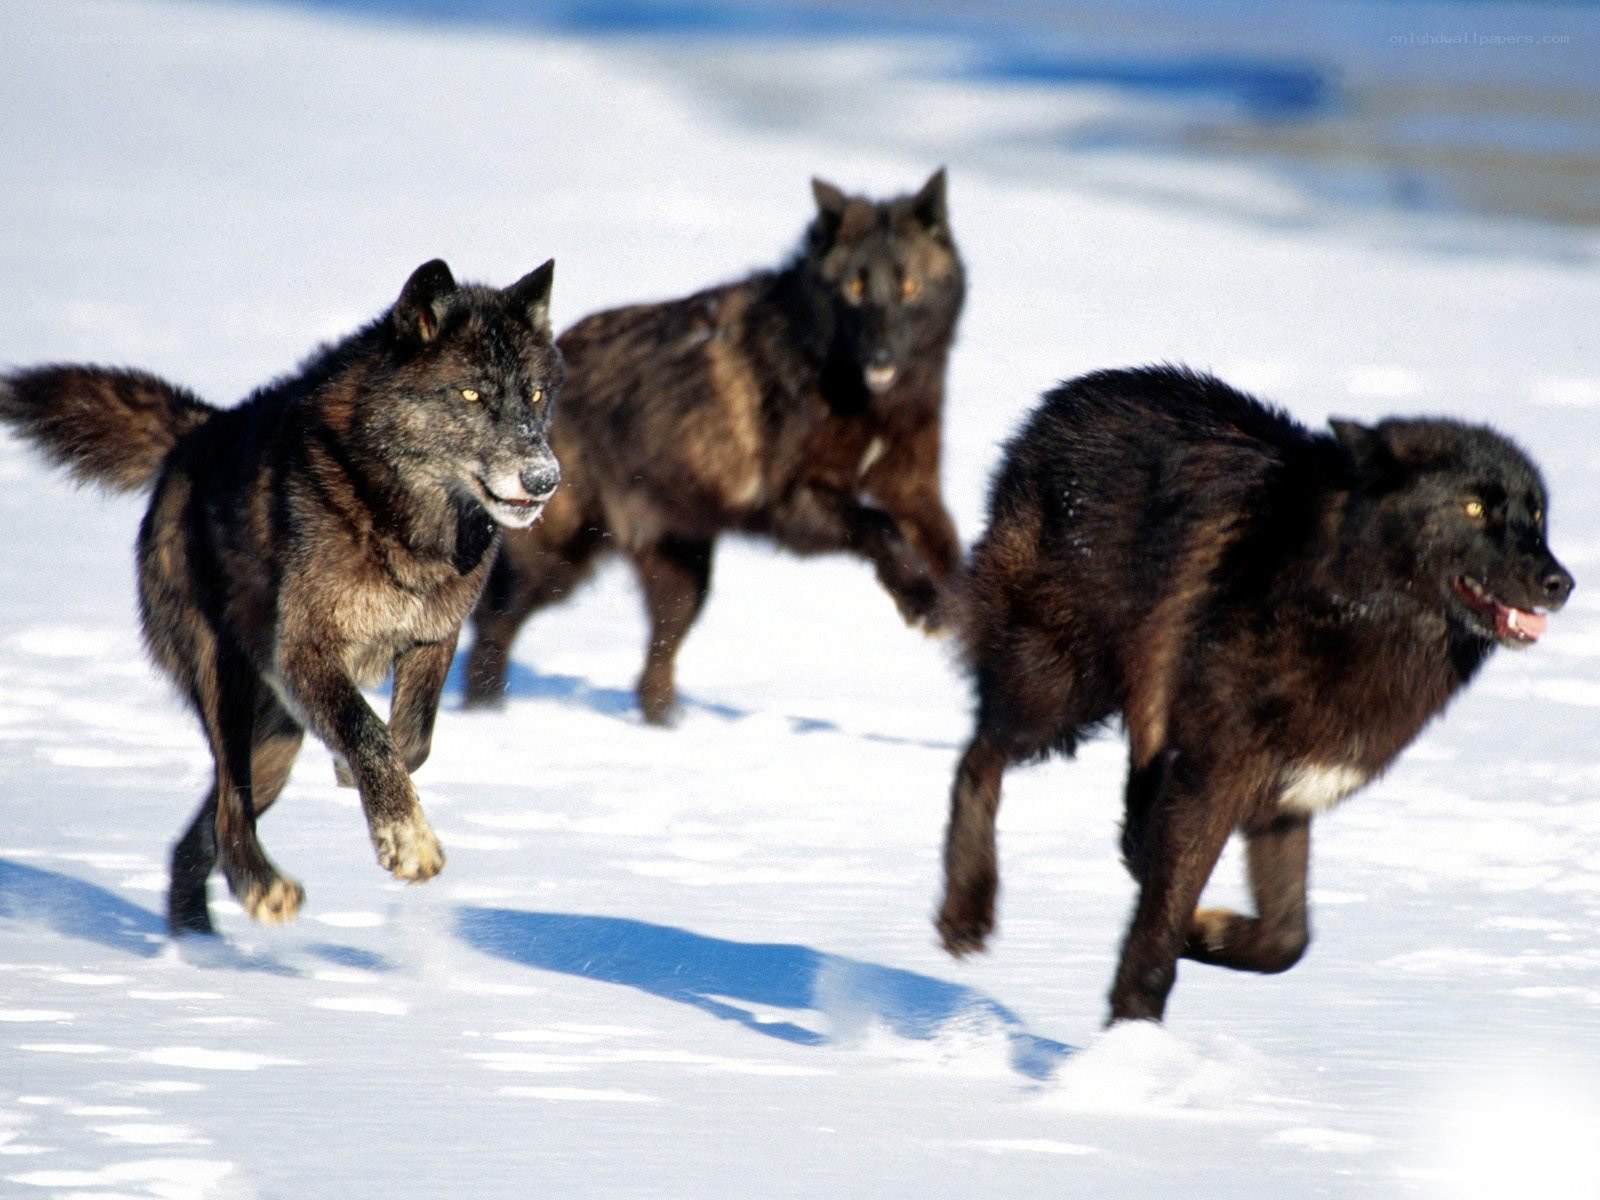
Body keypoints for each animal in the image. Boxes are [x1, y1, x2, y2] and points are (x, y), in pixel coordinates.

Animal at [0, 258, 563, 934]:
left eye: (536, 394)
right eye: (472, 395)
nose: (544, 478)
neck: (399, 516)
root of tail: (199, 431)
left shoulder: (432, 638)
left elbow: (410, 740)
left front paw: (366, 787)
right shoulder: (304, 653)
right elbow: (371, 733)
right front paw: (406, 841)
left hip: (277, 741)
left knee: (198, 835)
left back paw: (197, 943)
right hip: (227, 685)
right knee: (228, 806)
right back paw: (260, 888)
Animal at [463, 170, 965, 723]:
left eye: (908, 287)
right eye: (855, 287)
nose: (881, 357)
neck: (858, 396)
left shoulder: (915, 490)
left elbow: (949, 552)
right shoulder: (791, 504)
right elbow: (879, 526)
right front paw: (922, 603)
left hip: (684, 576)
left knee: (654, 665)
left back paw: (665, 728)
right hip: (557, 561)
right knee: (493, 623)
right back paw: (483, 713)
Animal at [935, 365, 1574, 1023]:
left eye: (1536, 516)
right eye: (1473, 507)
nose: (1563, 583)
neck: (1344, 604)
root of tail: (1058, 401)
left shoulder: (1286, 798)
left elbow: (1285, 939)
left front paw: (1206, 931)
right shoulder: (1214, 782)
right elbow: (1159, 937)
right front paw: (1133, 1034)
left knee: (1125, 827)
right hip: (1059, 692)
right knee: (979, 758)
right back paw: (966, 912)